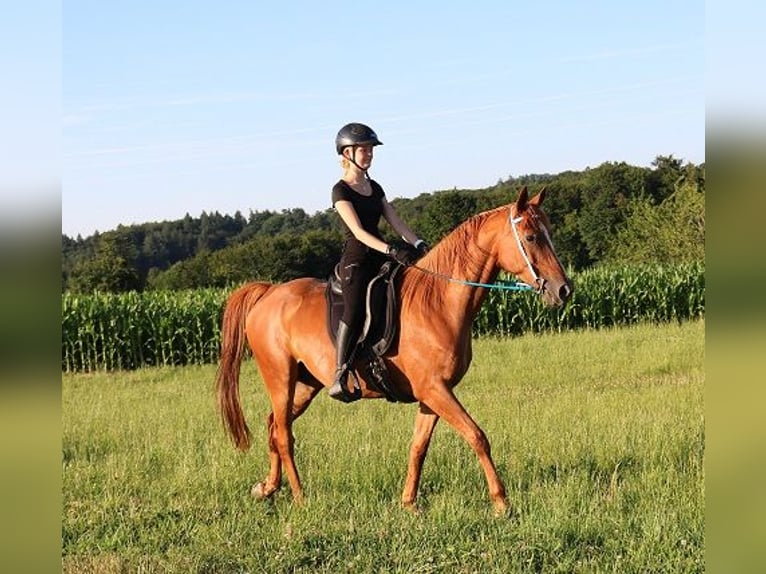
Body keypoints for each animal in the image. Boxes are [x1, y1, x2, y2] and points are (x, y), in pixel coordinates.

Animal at [216, 186, 572, 514]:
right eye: (531, 237)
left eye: (550, 234)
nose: (564, 290)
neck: (438, 302)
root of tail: (268, 294)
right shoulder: (435, 390)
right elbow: (477, 436)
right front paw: (501, 502)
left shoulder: (432, 394)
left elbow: (418, 447)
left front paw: (409, 503)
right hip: (280, 378)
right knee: (284, 435)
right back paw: (300, 497)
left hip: (305, 385)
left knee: (274, 425)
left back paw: (268, 488)